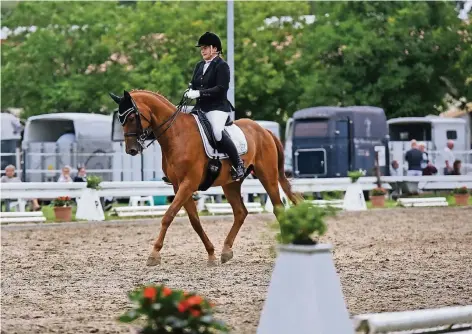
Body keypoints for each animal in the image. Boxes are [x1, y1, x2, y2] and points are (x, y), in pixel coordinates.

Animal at [109, 89, 300, 266]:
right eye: (120, 120)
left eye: (132, 117)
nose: (131, 150)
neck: (177, 135)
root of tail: (264, 130)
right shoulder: (179, 186)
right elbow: (195, 221)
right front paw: (211, 254)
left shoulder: (188, 184)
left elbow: (168, 216)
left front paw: (154, 254)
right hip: (230, 184)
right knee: (240, 212)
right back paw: (226, 251)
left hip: (267, 176)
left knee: (278, 208)